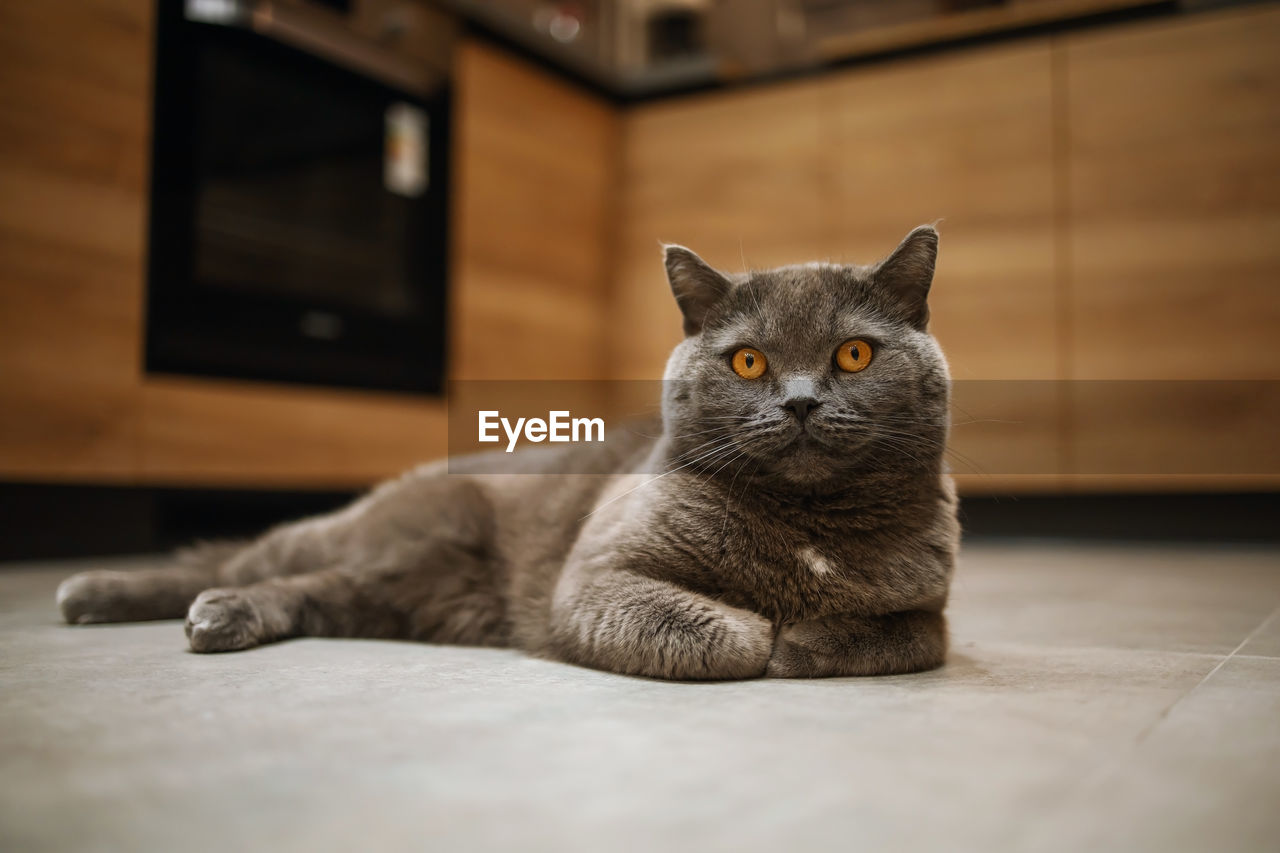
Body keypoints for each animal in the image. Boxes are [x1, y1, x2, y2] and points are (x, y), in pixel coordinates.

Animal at [60, 225, 962, 676]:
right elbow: (718, 634)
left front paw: (803, 638)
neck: (804, 533)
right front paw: (764, 635)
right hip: (376, 530)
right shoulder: (596, 572)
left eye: (853, 354)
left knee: (307, 590)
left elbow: (910, 633)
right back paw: (99, 593)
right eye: (748, 362)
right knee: (239, 554)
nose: (801, 401)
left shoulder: (929, 600)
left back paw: (221, 618)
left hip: (394, 592)